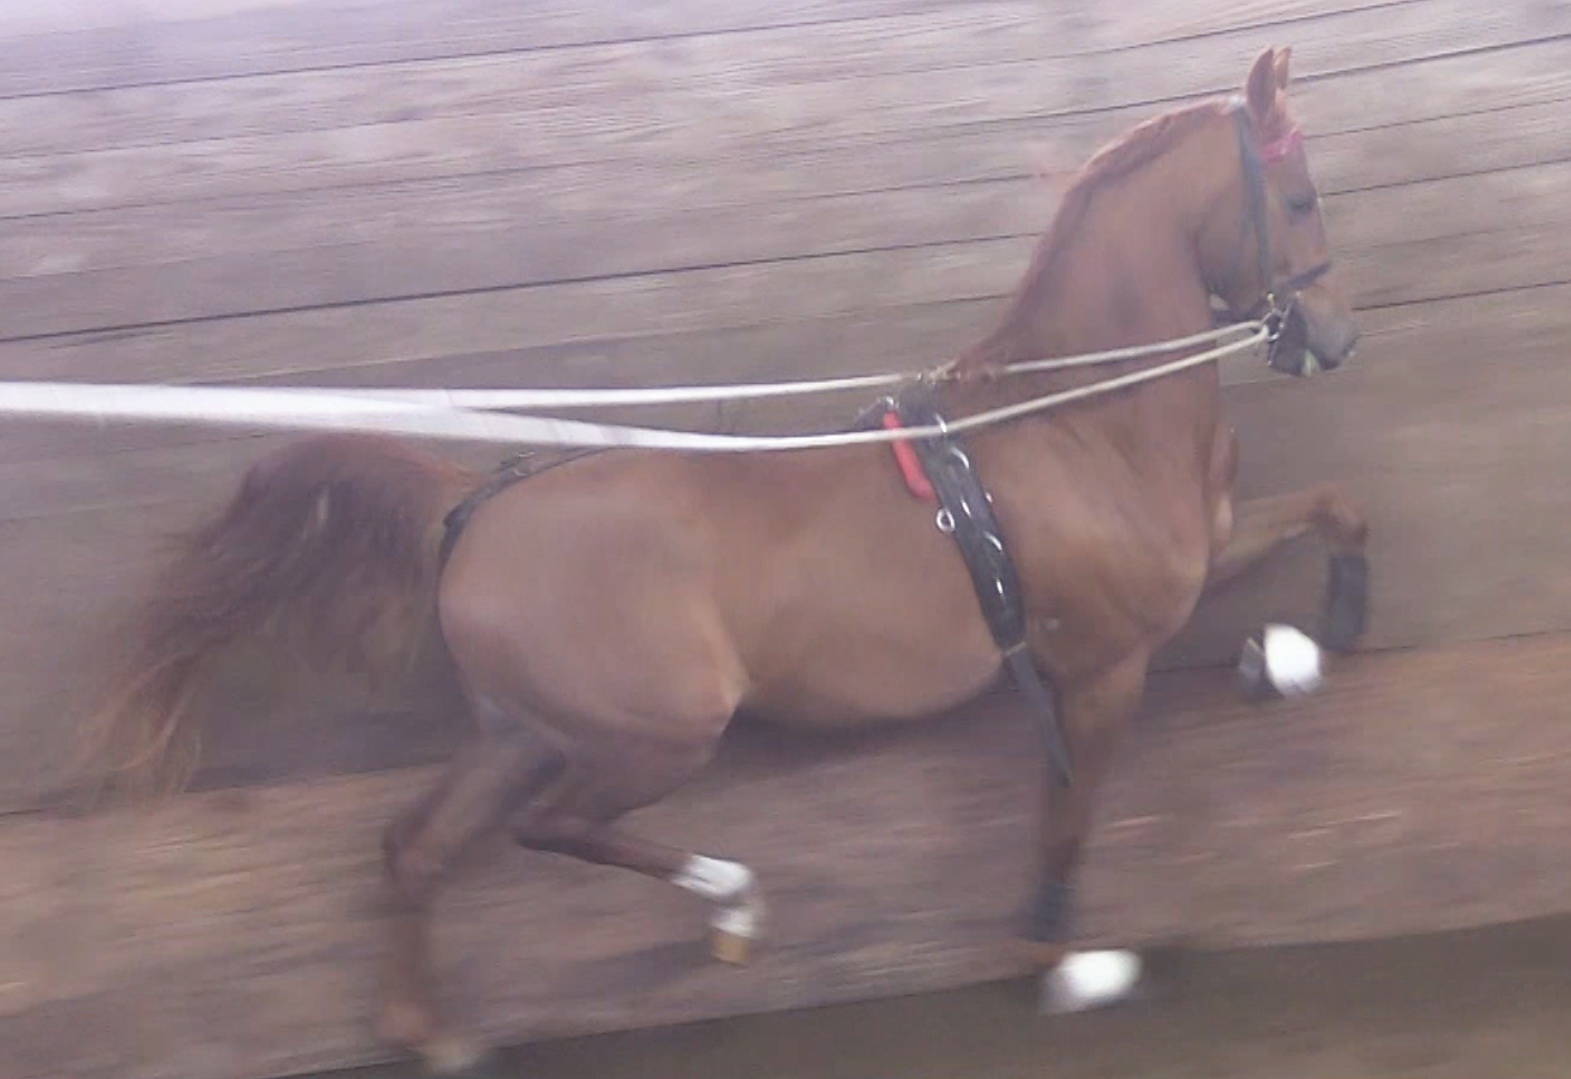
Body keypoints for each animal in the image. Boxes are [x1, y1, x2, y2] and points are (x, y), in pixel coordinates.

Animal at [83, 46, 1368, 1073]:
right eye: (1299, 197)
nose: (1332, 335)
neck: (1075, 420)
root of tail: (477, 504)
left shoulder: (1200, 558)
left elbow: (1332, 508)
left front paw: (1326, 631)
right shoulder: (1099, 668)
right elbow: (1066, 819)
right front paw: (1056, 955)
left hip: (517, 730)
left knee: (416, 848)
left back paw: (432, 1027)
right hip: (655, 728)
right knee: (547, 828)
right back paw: (728, 896)